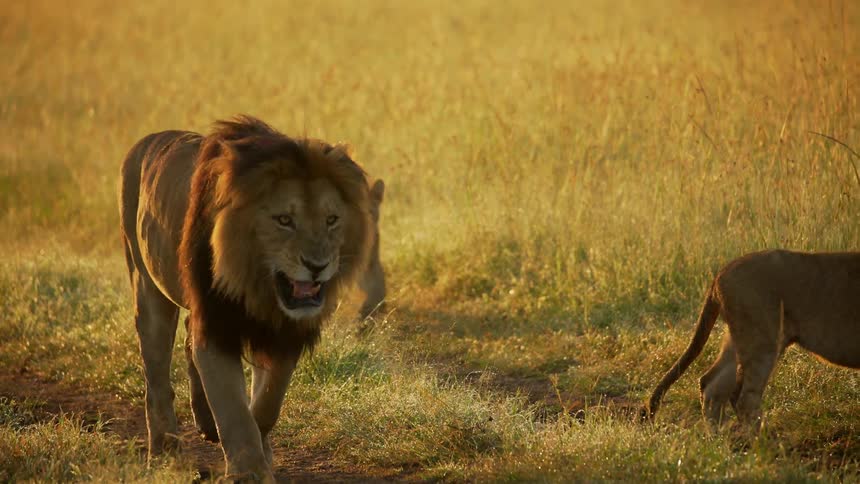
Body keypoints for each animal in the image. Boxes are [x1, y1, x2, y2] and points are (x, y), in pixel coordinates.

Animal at [118, 115, 374, 482]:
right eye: (284, 220)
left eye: (331, 220)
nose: (317, 266)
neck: (258, 288)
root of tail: (148, 139)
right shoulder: (217, 324)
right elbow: (235, 412)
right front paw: (249, 471)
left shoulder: (284, 334)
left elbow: (266, 403)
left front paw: (259, 447)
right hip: (147, 286)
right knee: (156, 378)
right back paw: (165, 452)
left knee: (187, 337)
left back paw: (204, 423)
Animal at [643, 249, 860, 429]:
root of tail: (720, 275)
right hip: (763, 339)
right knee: (744, 398)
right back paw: (764, 445)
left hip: (739, 337)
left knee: (711, 384)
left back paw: (720, 441)